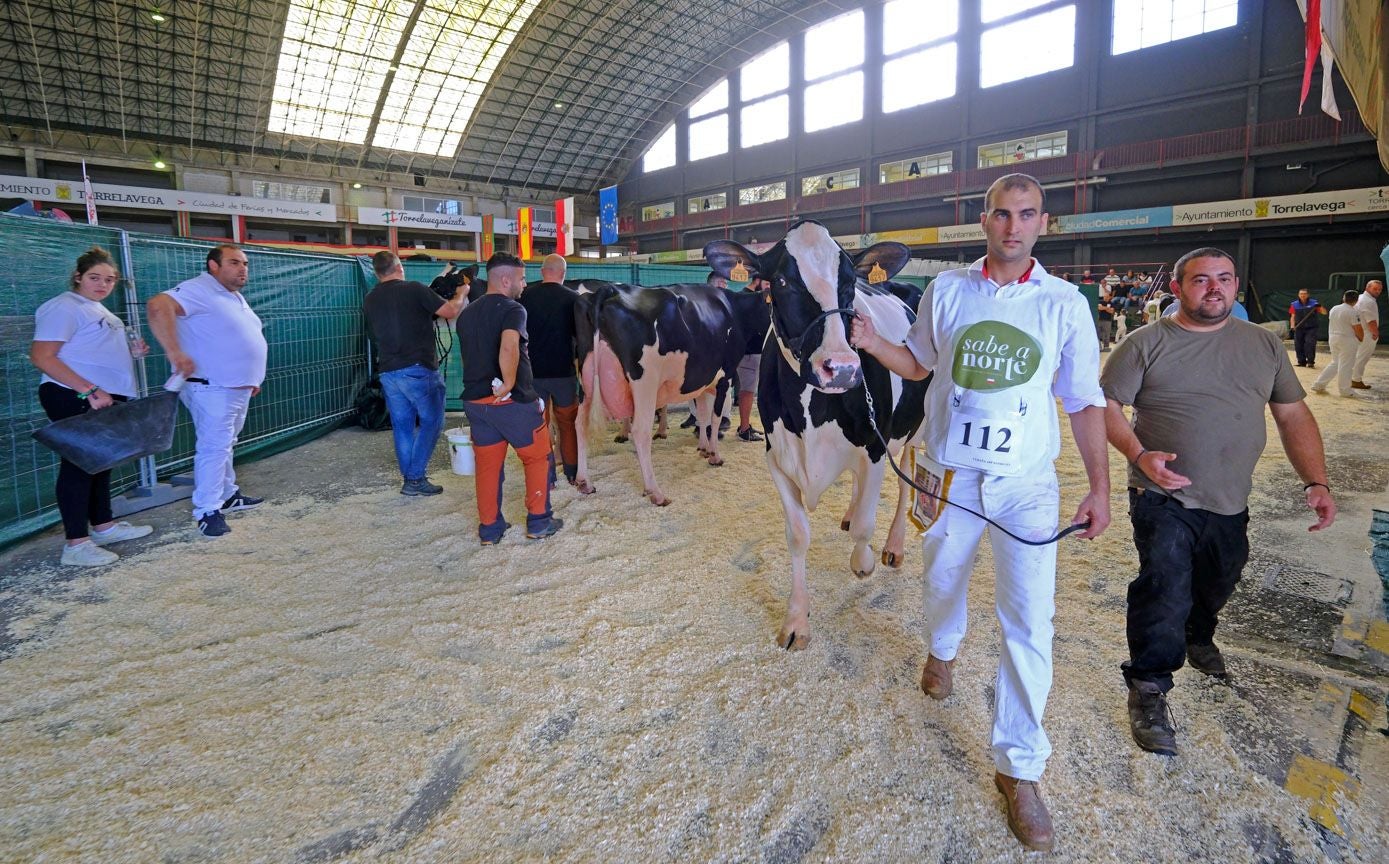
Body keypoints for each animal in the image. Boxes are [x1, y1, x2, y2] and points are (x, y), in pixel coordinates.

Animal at [711, 223, 927, 650]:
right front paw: (796, 620)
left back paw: (893, 546)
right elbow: (797, 535)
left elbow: (865, 526)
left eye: (850, 281)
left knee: (905, 482)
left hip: (914, 428)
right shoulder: (777, 457)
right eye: (780, 280)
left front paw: (863, 562)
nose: (841, 368)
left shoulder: (875, 447)